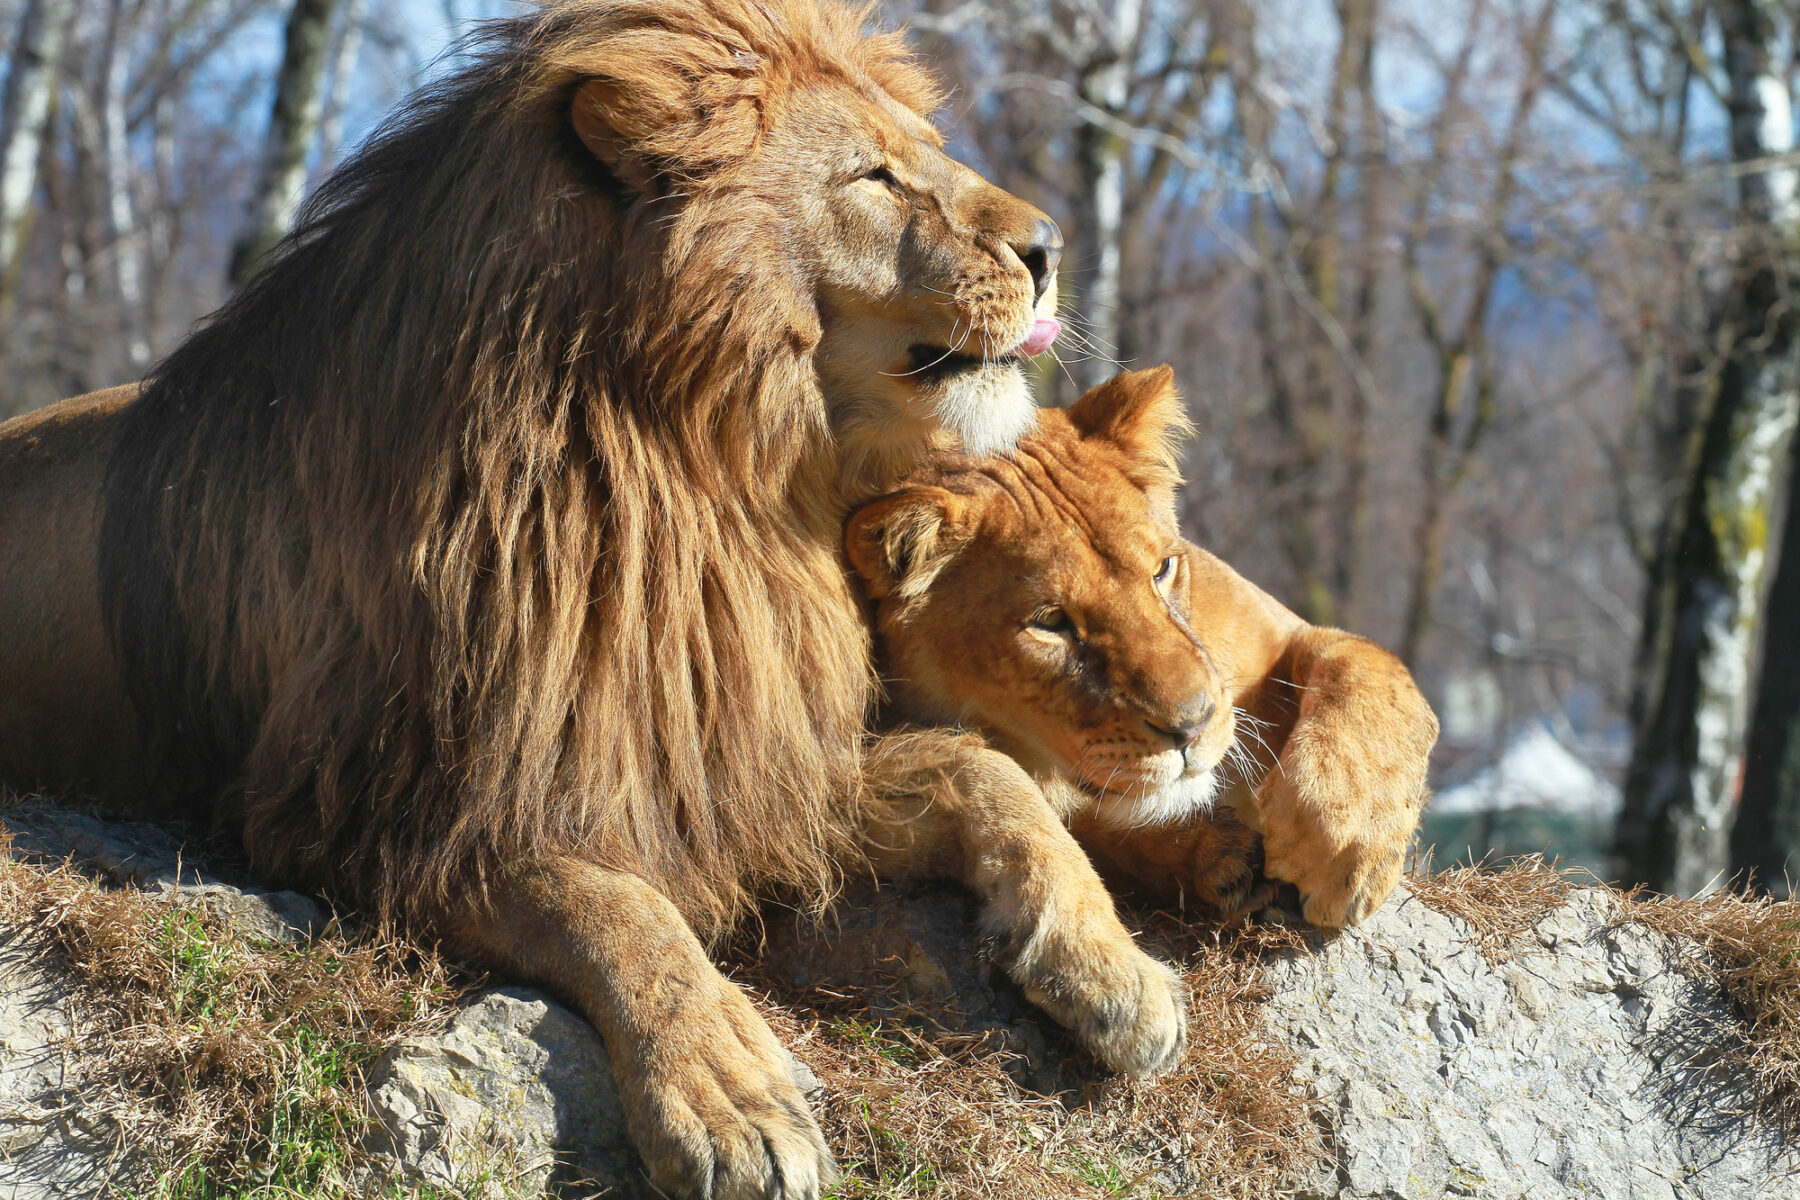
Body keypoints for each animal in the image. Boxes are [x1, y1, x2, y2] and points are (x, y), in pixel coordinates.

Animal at [0, 4, 1189, 1196]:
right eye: (874, 175)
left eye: (926, 149)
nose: (1050, 249)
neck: (710, 477)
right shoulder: (382, 816)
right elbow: (617, 907)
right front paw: (728, 1096)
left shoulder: (740, 756)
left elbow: (980, 769)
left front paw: (1115, 971)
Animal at [846, 367, 1441, 928]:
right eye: (1050, 622)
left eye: (1163, 568)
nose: (1193, 728)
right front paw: (1220, 858)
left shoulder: (1289, 634)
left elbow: (1370, 670)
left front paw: (1338, 840)